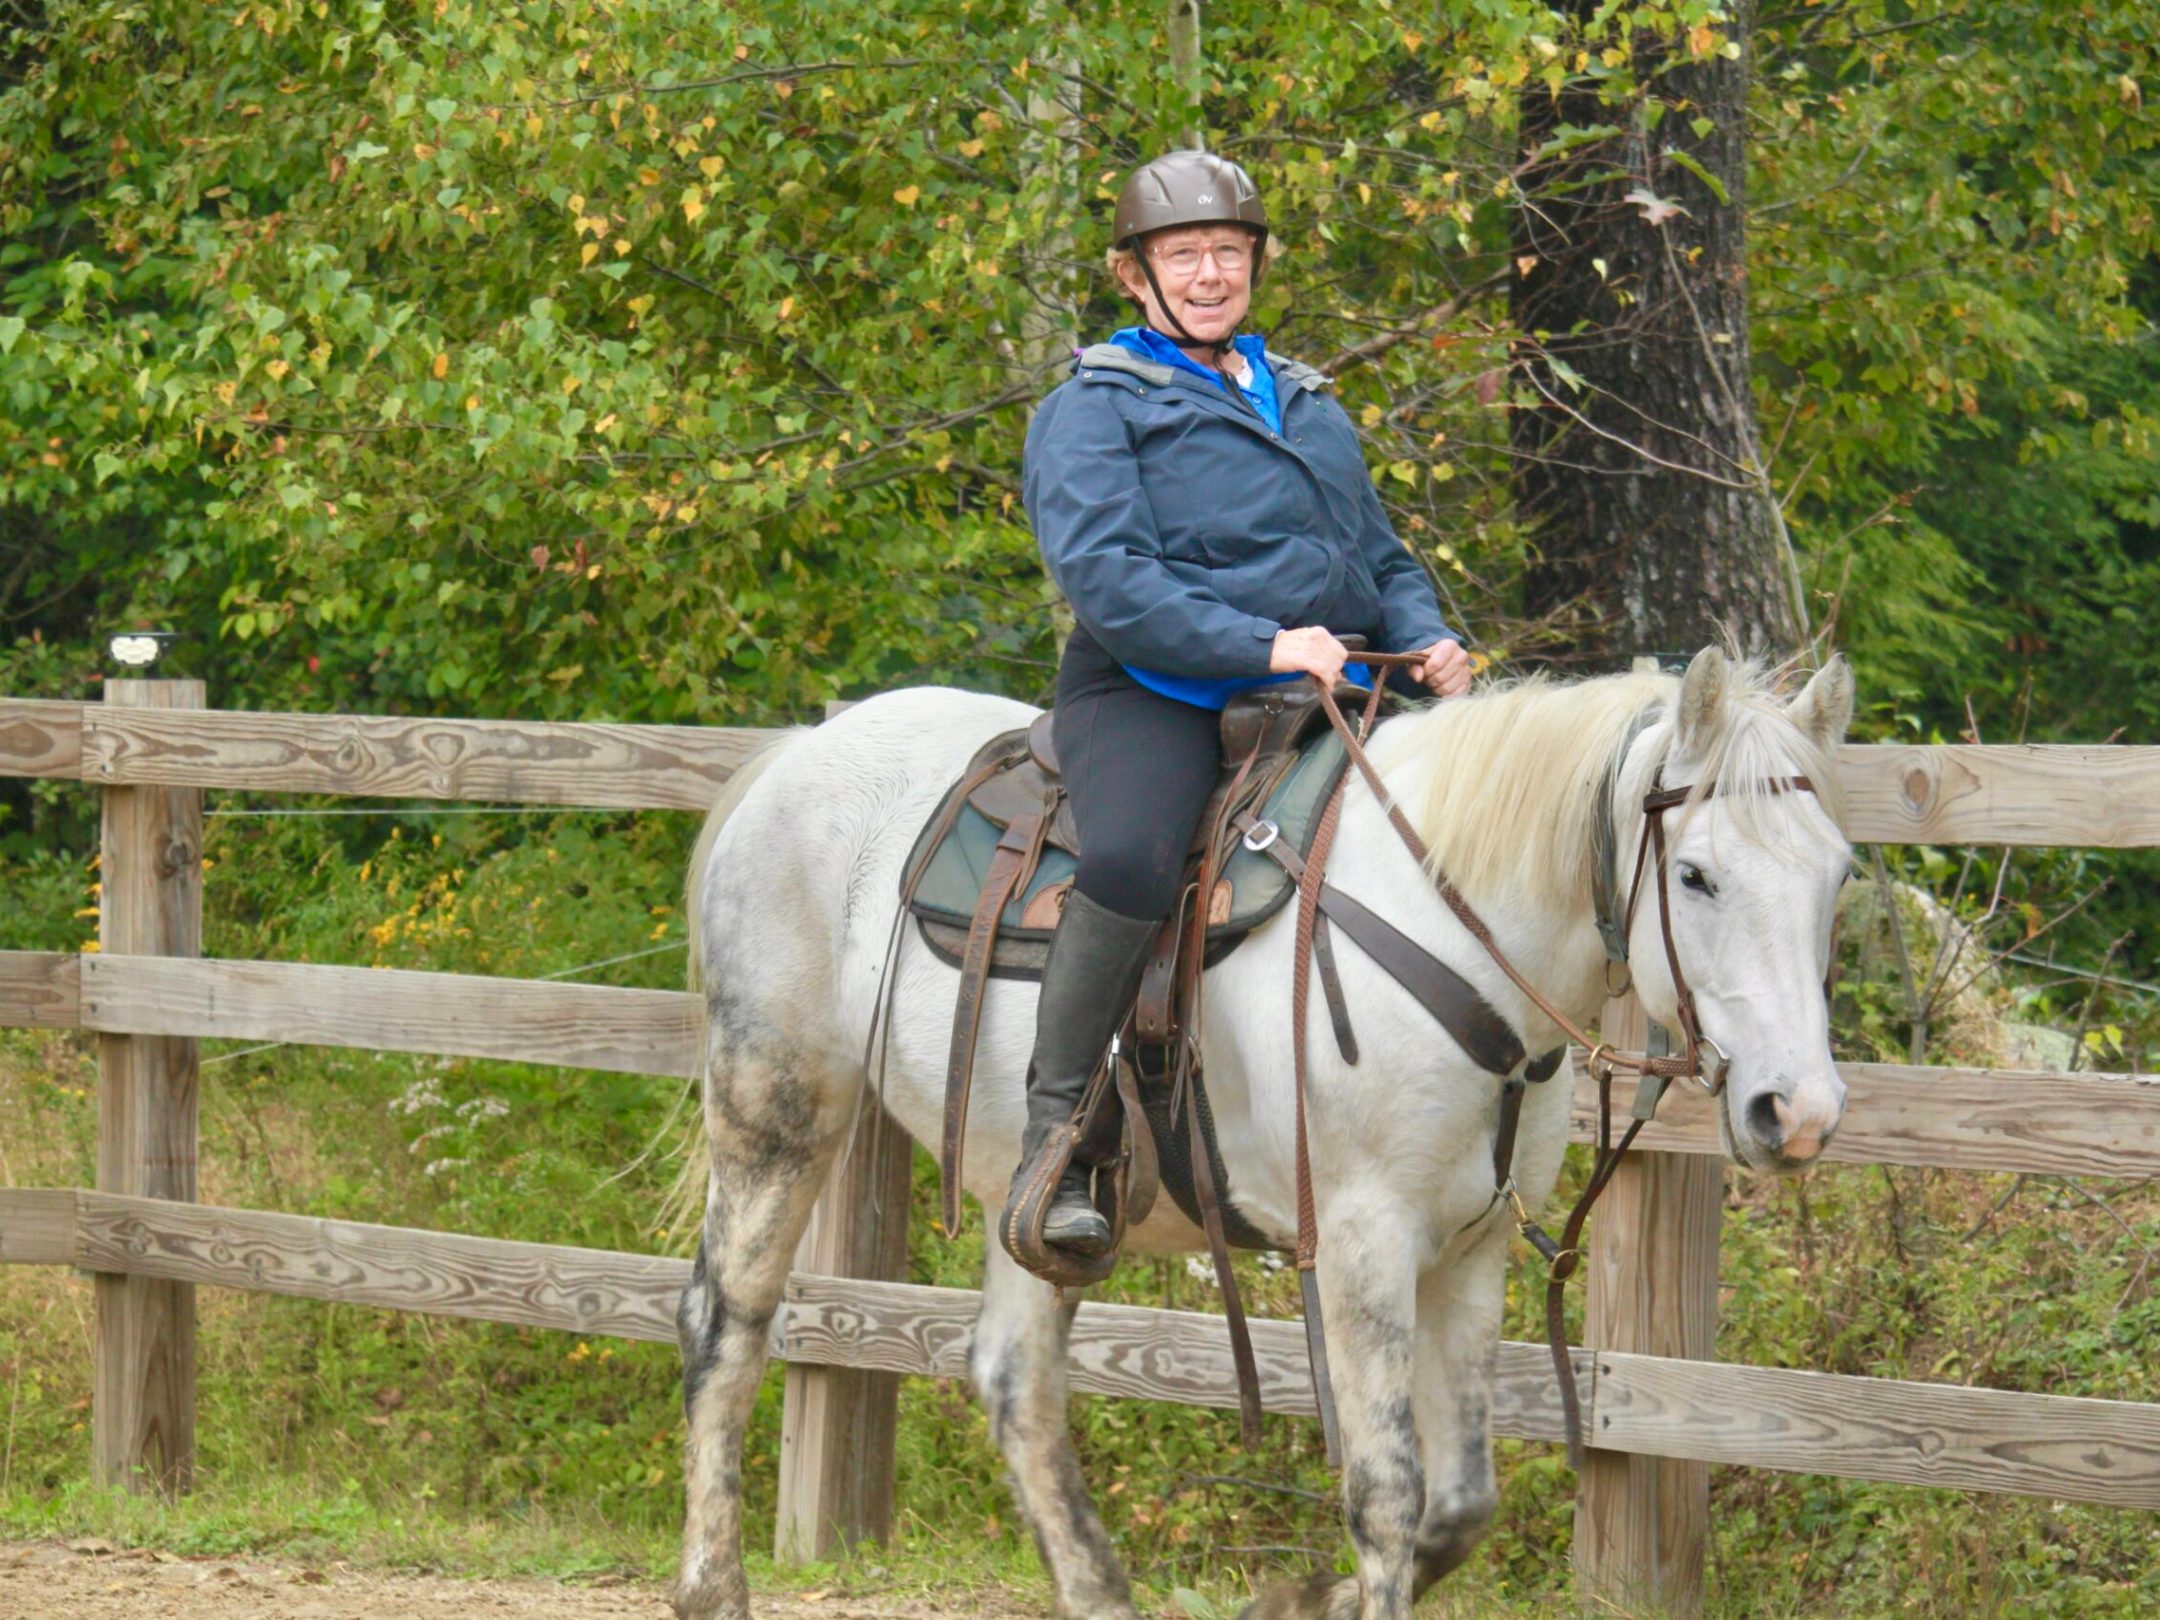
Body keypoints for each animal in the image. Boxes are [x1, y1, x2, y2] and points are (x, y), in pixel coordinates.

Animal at [669, 646, 1855, 1620]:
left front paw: (1294, 1600)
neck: (1444, 925)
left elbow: (1460, 1502)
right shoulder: (1364, 1242)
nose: (1796, 1113)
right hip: (777, 1105)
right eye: (1695, 875)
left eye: (1838, 874)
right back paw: (711, 1586)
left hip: (1039, 1203)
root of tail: (799, 751)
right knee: (725, 1325)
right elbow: (1387, 1495)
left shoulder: (1470, 1252)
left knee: (1013, 1379)